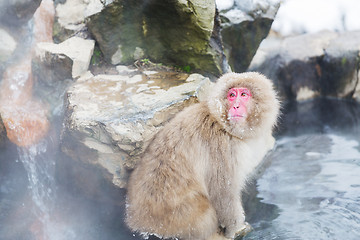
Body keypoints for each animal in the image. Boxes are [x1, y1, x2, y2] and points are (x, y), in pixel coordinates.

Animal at [126, 71, 282, 240]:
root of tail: (135, 221)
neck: (222, 124)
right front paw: (236, 229)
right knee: (204, 214)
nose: (236, 106)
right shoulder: (223, 148)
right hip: (175, 221)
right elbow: (224, 194)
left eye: (244, 94)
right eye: (232, 95)